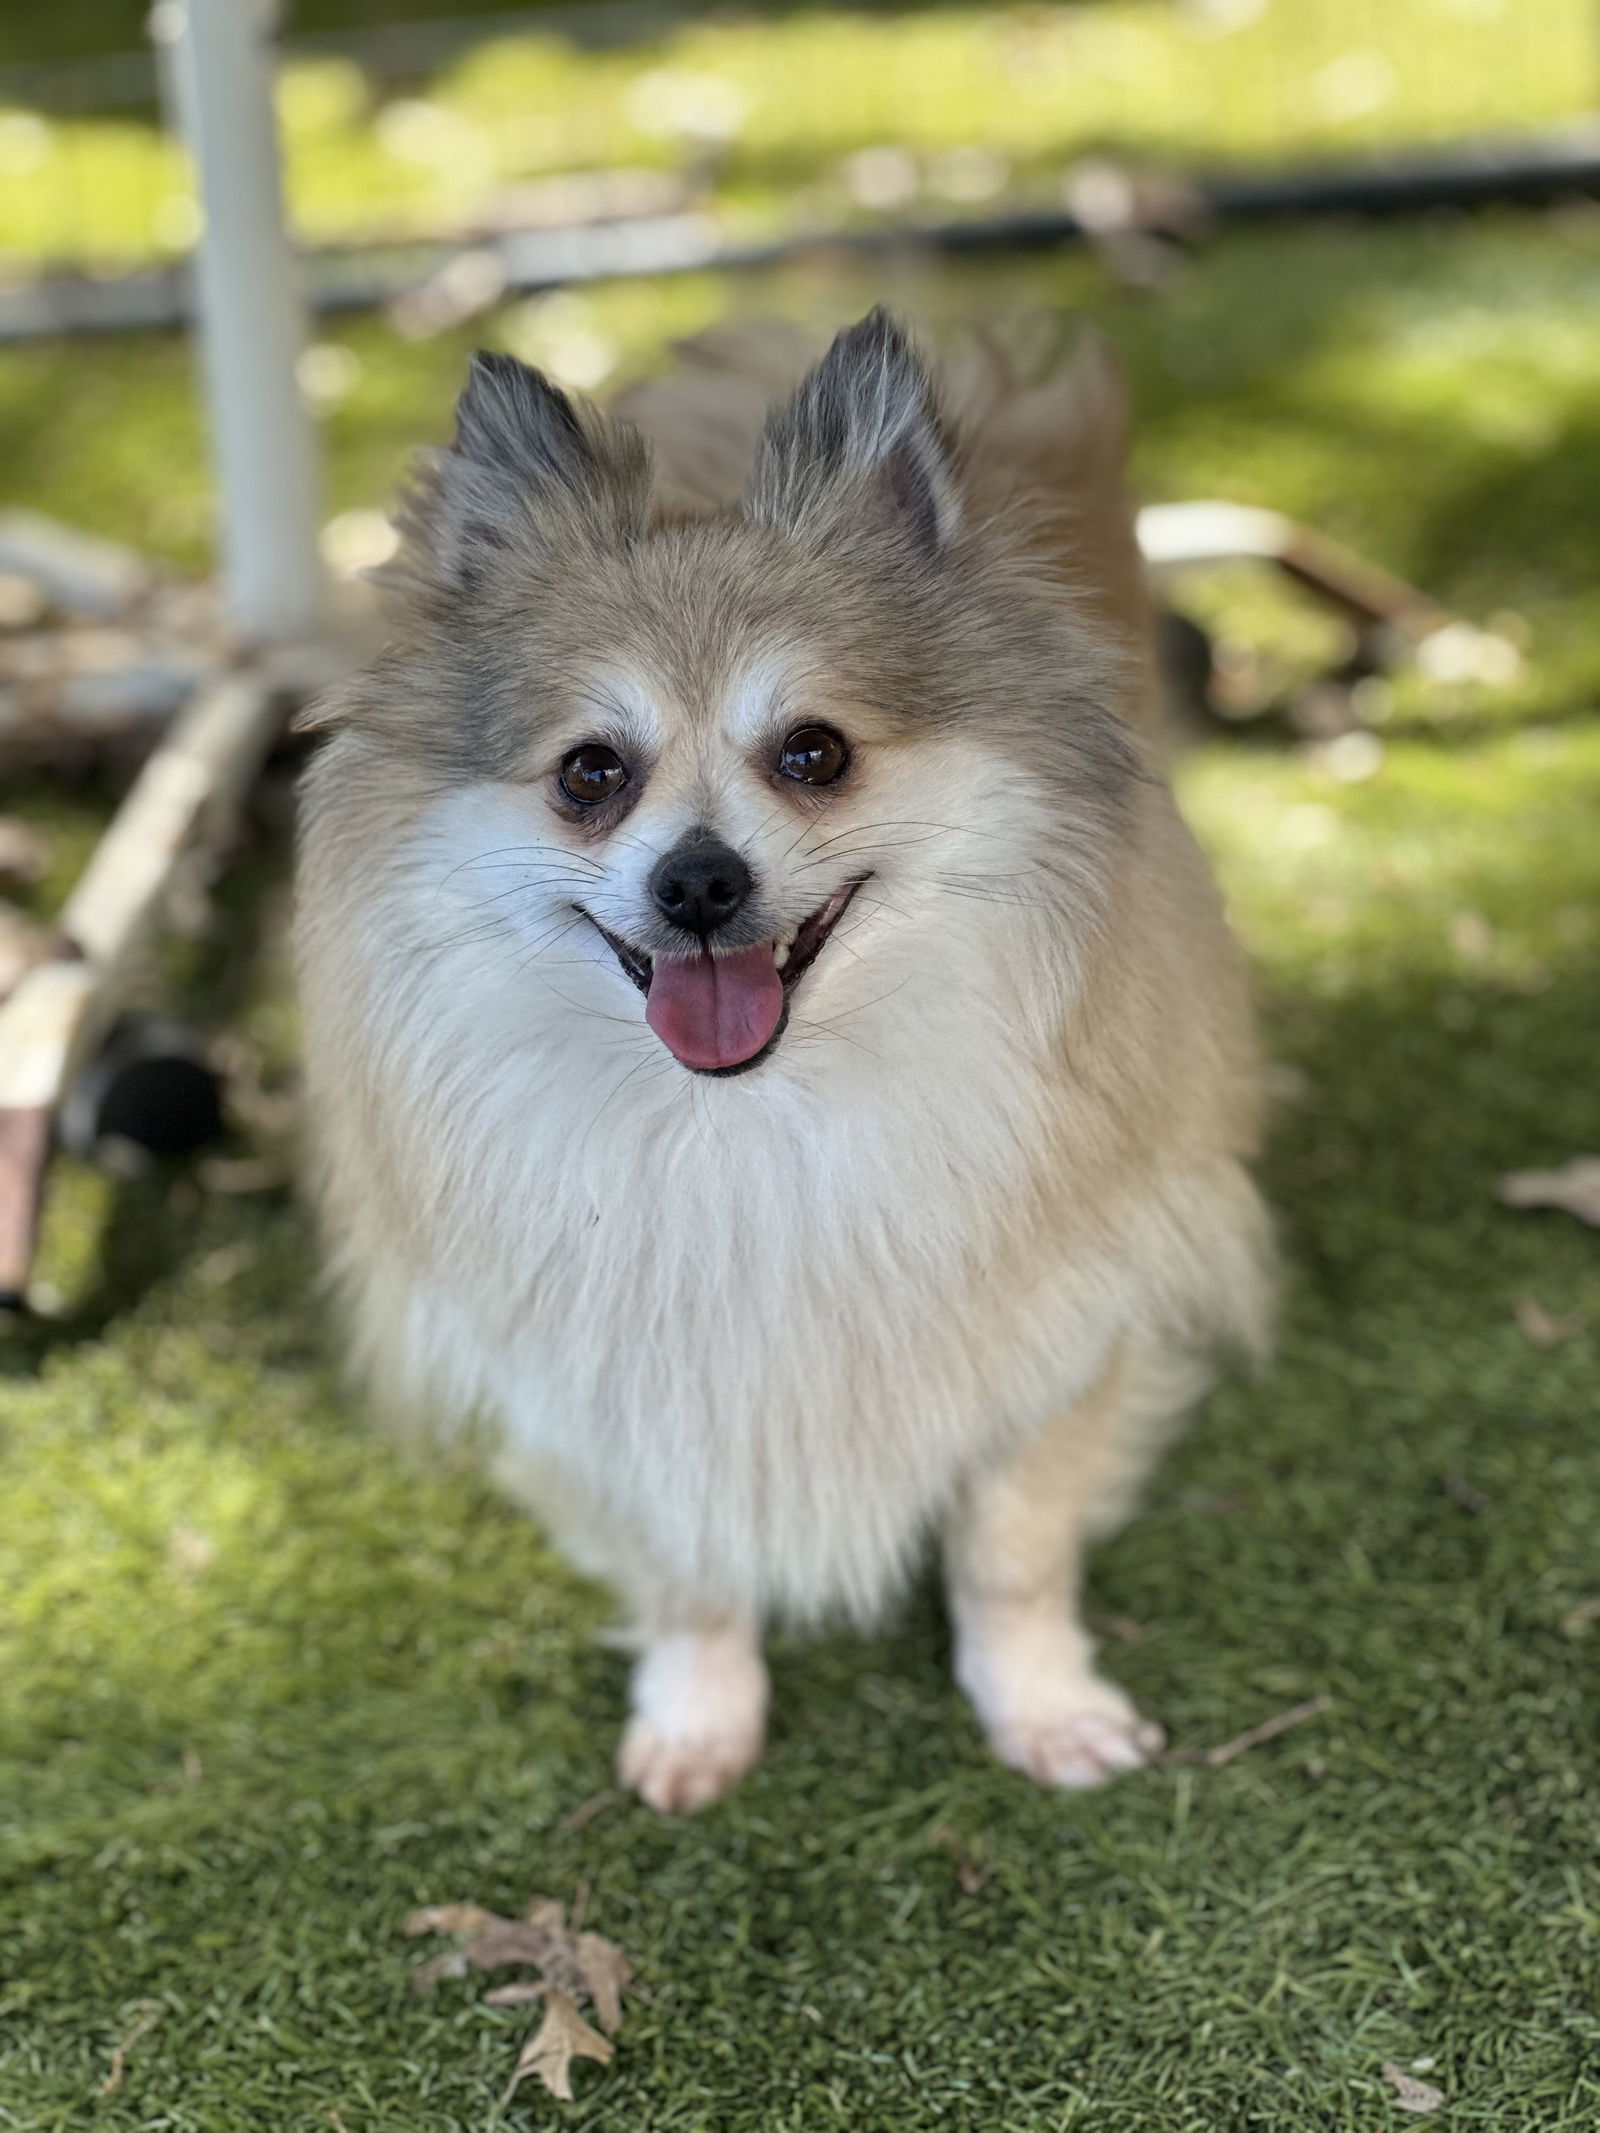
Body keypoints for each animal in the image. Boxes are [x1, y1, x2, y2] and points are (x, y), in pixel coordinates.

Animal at [298, 311, 1280, 1817]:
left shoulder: (1071, 1314)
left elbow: (1010, 1548)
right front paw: (701, 1713)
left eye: (814, 752)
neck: (752, 1122)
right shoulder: (602, 1380)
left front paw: (1043, 1705)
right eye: (590, 775)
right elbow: (685, 1570)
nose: (700, 879)